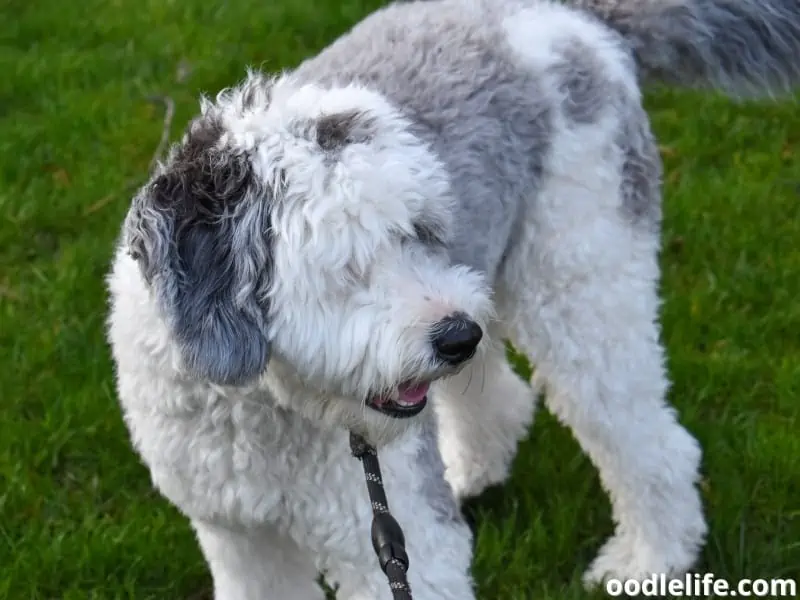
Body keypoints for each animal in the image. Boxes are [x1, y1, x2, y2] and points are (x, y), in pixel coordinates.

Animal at [108, 0, 800, 596]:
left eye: (420, 231)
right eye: (346, 263)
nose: (455, 337)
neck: (255, 406)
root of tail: (570, 16)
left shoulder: (398, 537)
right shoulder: (240, 539)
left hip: (580, 283)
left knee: (644, 435)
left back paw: (650, 560)